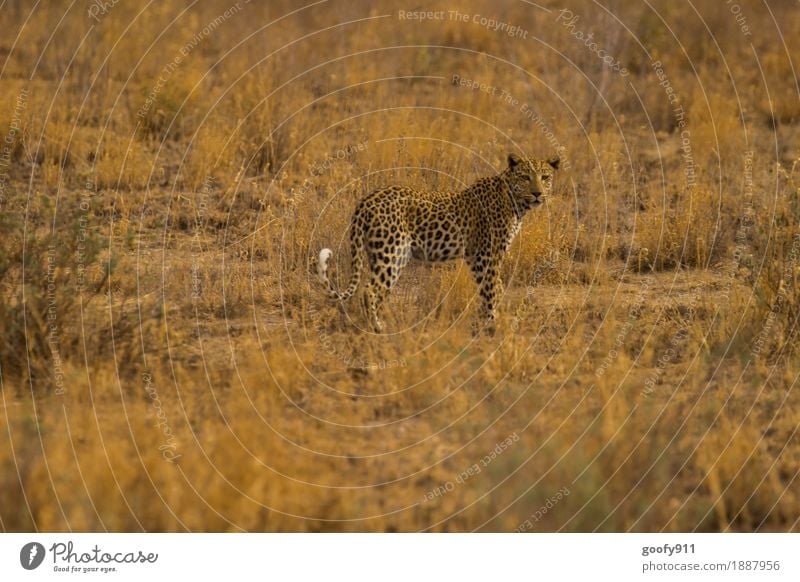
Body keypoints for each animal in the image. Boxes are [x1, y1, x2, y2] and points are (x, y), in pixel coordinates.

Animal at [316, 153, 560, 336]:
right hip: (392, 253)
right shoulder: (488, 255)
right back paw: (376, 328)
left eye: (545, 177)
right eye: (525, 177)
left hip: (378, 254)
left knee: (377, 290)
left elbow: (493, 288)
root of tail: (366, 201)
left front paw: (484, 322)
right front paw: (492, 326)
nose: (537, 193)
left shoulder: (475, 257)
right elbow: (491, 289)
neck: (515, 201)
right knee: (369, 290)